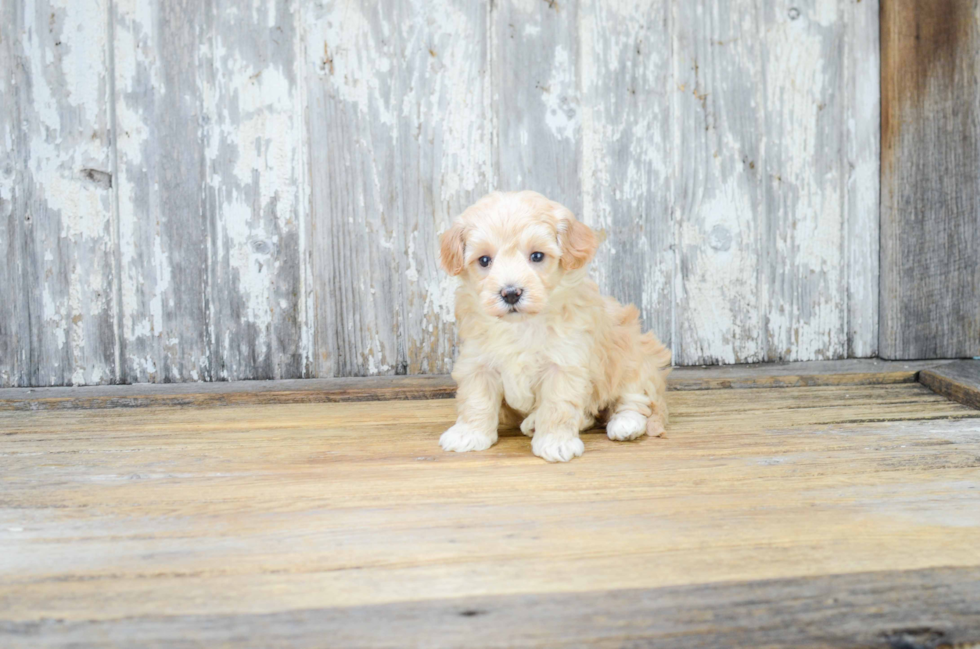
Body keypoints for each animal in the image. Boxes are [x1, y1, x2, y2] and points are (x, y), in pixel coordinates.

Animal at [438, 190, 672, 464]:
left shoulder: (564, 364)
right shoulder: (478, 362)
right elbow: (476, 399)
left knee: (634, 398)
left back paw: (625, 424)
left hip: (631, 356)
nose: (510, 293)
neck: (522, 325)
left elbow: (558, 405)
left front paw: (555, 442)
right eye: (484, 260)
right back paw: (533, 422)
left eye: (537, 256)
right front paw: (469, 434)